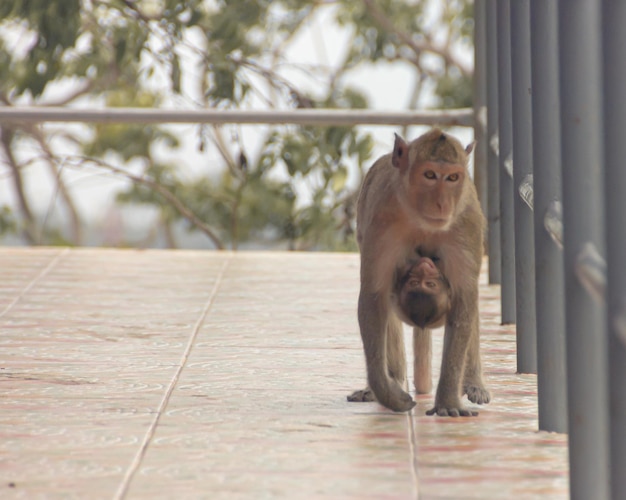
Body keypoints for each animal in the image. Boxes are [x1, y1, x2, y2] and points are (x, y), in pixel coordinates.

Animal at [352, 128, 488, 414]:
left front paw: (448, 400)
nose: (442, 204)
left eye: (452, 177)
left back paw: (473, 382)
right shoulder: (382, 223)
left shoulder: (465, 224)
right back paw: (390, 379)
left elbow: (464, 297)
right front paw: (386, 391)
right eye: (429, 175)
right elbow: (374, 295)